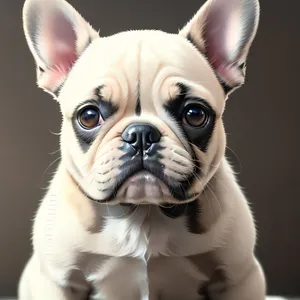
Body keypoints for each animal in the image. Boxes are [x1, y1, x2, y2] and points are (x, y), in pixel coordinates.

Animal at [18, 0, 266, 298]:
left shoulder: (238, 278)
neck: (144, 211)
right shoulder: (57, 281)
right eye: (88, 116)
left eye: (195, 114)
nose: (141, 134)